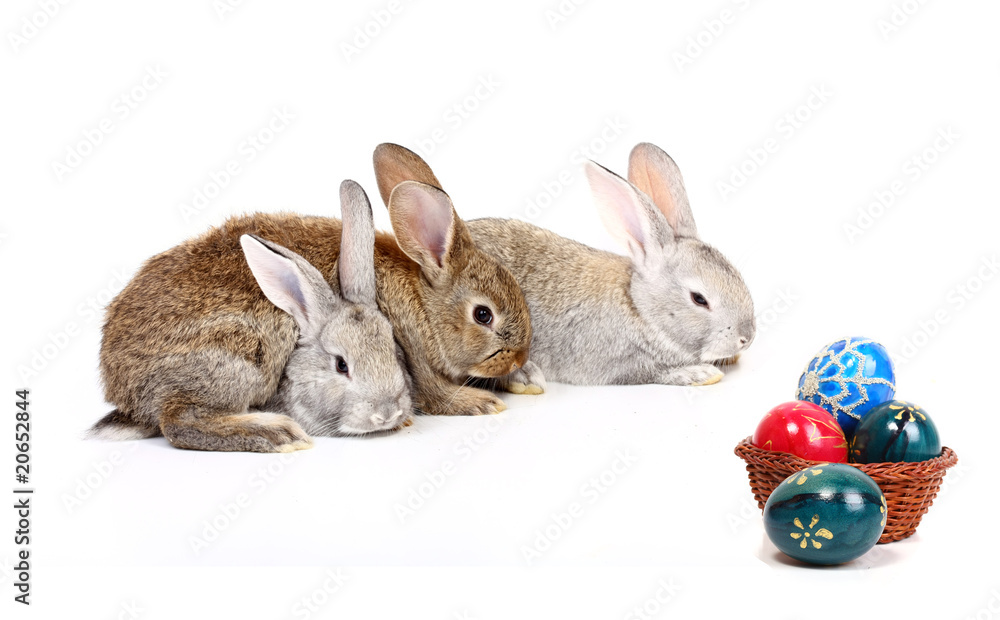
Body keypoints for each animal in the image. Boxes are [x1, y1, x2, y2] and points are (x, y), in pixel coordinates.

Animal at [89, 181, 412, 451]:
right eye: (341, 365)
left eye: (395, 353)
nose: (387, 413)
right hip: (233, 361)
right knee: (180, 422)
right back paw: (278, 434)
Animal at [464, 142, 756, 387]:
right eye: (699, 299)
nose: (747, 337)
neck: (639, 308)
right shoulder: (618, 363)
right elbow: (652, 372)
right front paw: (699, 373)